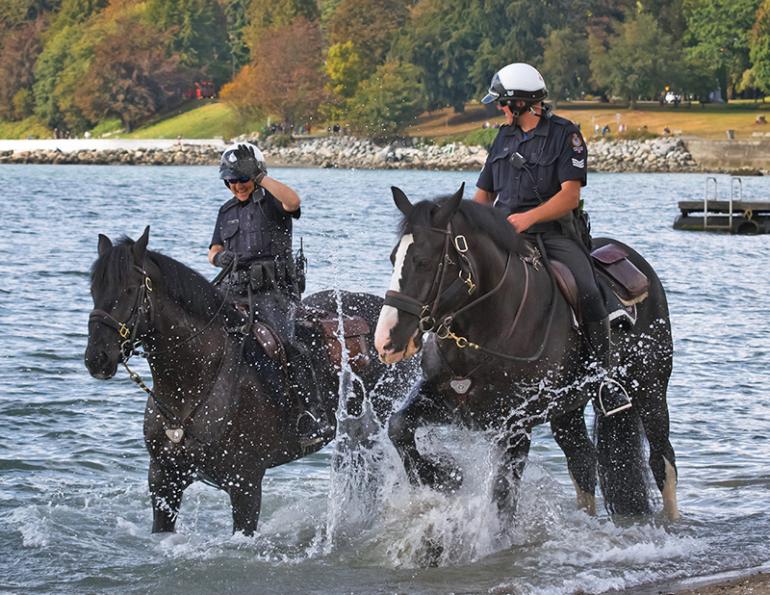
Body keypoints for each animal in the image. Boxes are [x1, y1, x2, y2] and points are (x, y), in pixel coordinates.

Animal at [84, 226, 416, 535]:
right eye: (93, 289)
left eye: (130, 289)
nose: (96, 358)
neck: (191, 388)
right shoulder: (163, 480)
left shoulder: (245, 484)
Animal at [374, 185, 678, 524]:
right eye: (393, 258)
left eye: (424, 262)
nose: (386, 341)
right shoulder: (444, 399)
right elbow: (398, 426)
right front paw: (439, 476)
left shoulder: (517, 422)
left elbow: (503, 497)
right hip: (567, 409)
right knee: (582, 461)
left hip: (650, 388)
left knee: (662, 459)